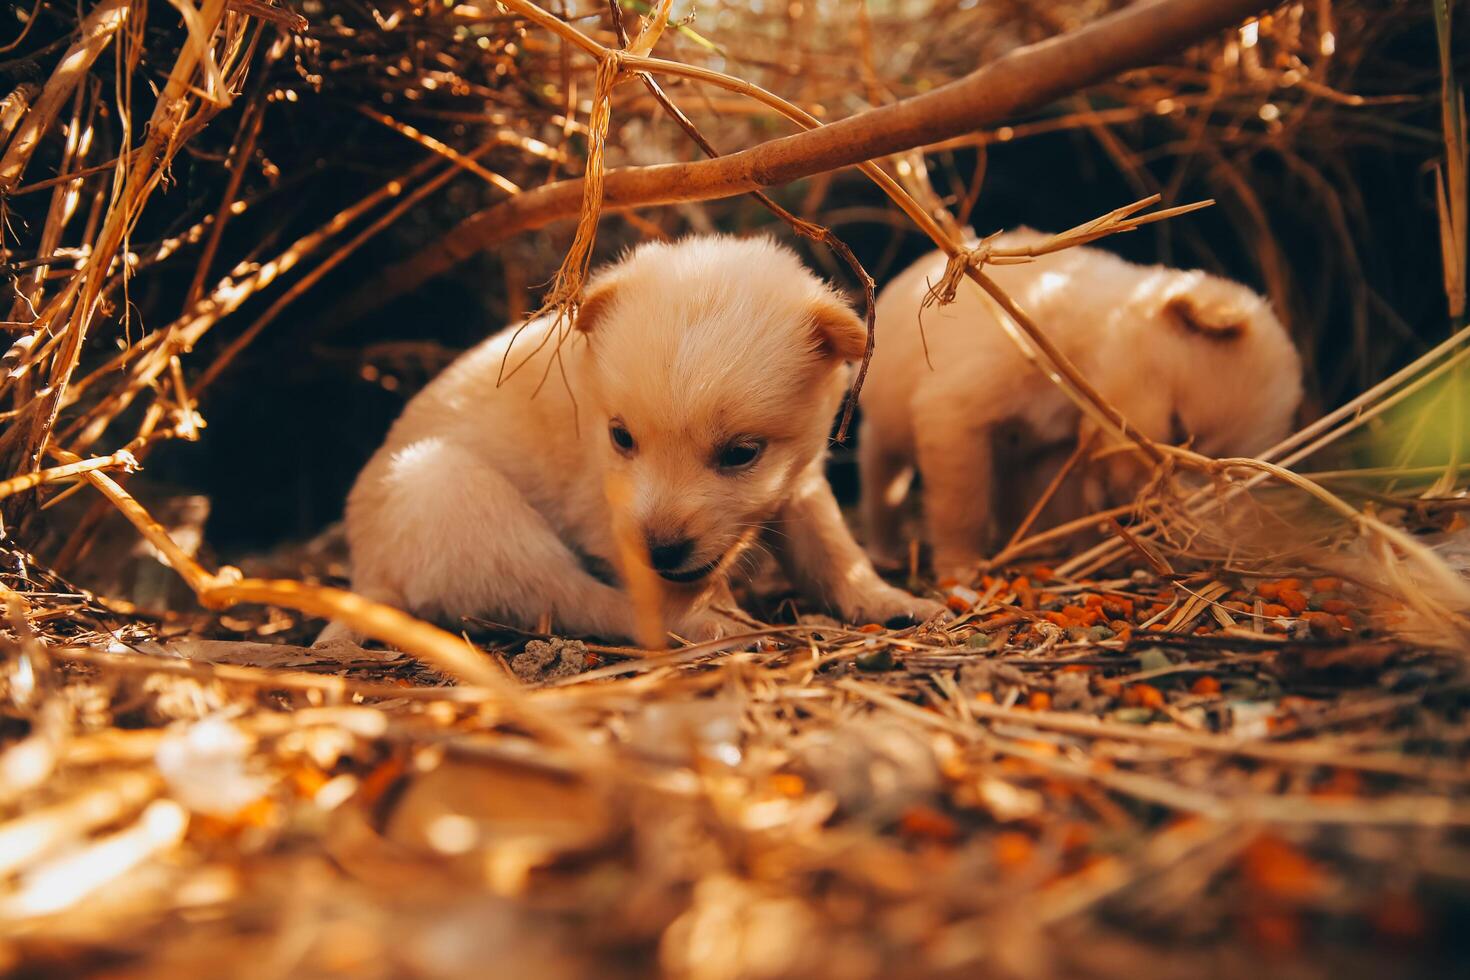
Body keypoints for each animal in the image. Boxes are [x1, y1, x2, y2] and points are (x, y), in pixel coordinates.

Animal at [321, 230, 940, 643]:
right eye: (621, 437)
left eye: (742, 453)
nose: (660, 548)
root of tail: (367, 574)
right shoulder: (604, 511)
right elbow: (671, 587)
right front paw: (711, 613)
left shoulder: (801, 484)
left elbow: (834, 550)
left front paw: (889, 599)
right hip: (455, 496)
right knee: (581, 600)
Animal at [858, 230, 1299, 578]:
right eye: (1177, 427)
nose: (1130, 514)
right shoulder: (953, 416)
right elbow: (962, 508)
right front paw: (960, 566)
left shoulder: (1056, 454)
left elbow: (1067, 509)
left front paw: (1084, 547)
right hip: (885, 438)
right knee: (882, 485)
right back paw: (883, 549)